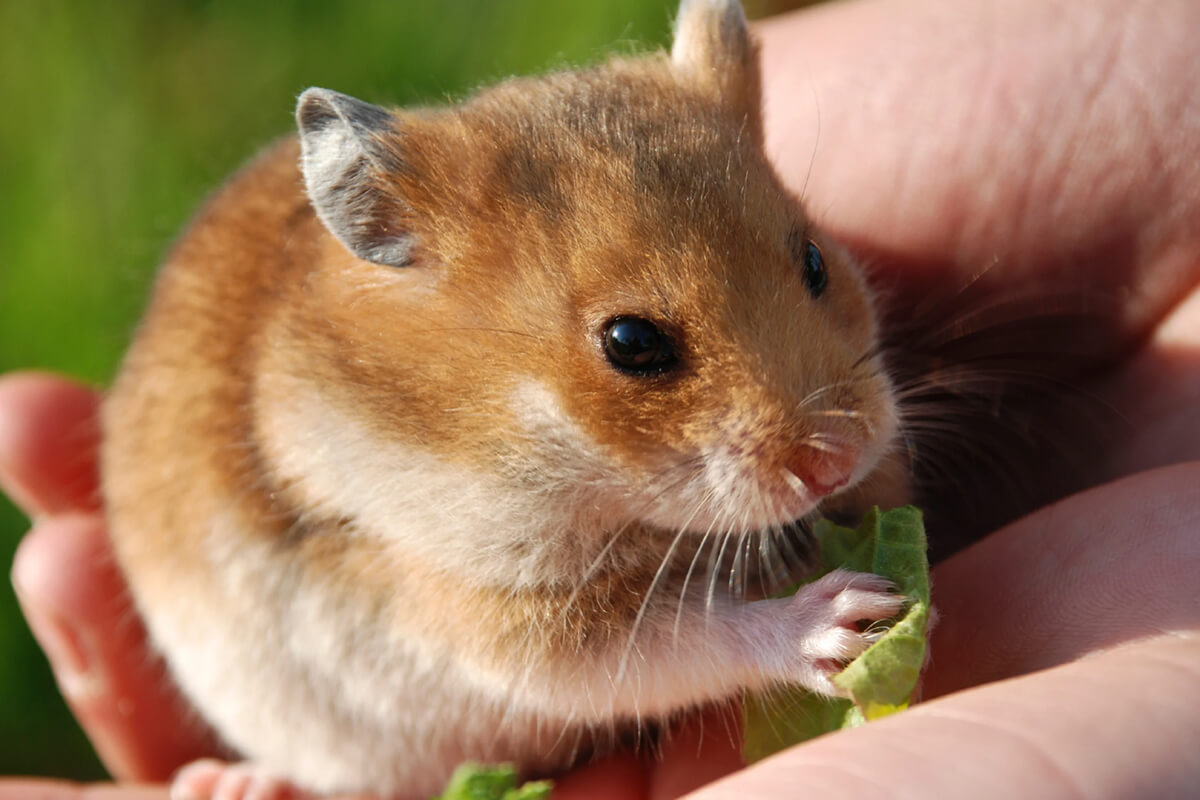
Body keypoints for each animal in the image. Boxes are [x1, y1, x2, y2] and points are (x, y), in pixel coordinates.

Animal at [102, 1, 910, 797]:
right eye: (630, 341)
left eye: (815, 262)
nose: (837, 463)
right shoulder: (507, 620)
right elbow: (689, 637)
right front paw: (857, 617)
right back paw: (228, 783)